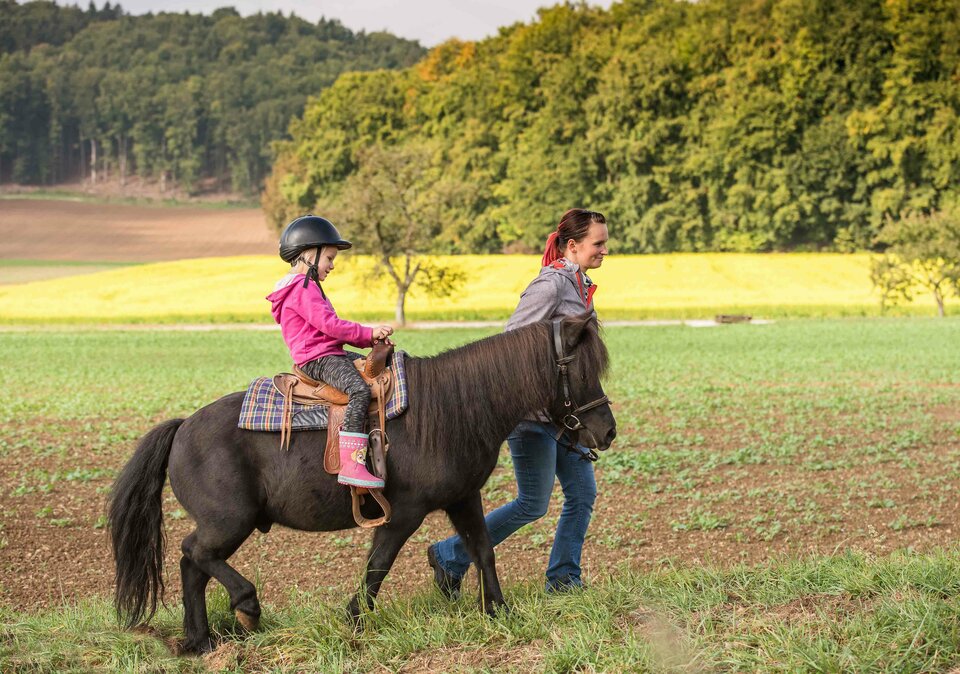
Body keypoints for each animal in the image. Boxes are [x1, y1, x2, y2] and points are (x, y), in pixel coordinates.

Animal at [107, 314, 616, 652]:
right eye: (582, 371)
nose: (608, 431)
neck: (453, 407)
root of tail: (182, 427)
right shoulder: (405, 512)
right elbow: (379, 565)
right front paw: (352, 621)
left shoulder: (463, 498)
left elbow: (483, 548)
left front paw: (498, 611)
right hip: (230, 520)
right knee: (195, 553)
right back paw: (245, 607)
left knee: (193, 564)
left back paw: (199, 641)